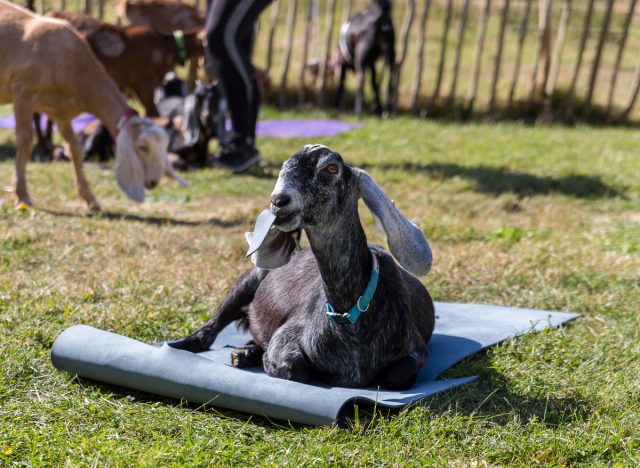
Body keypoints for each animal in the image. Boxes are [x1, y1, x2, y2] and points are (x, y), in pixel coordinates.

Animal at [0, 0, 185, 208]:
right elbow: (24, 141)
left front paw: (90, 199)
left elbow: (75, 148)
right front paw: (21, 195)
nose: (153, 182)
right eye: (142, 147)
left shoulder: (60, 112)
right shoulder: (23, 93)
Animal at [169, 144, 436, 390]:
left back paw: (245, 353)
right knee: (210, 329)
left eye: (331, 168)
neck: (350, 315)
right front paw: (266, 359)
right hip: (248, 280)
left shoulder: (415, 348)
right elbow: (294, 368)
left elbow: (398, 375)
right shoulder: (285, 336)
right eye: (284, 168)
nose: (278, 201)